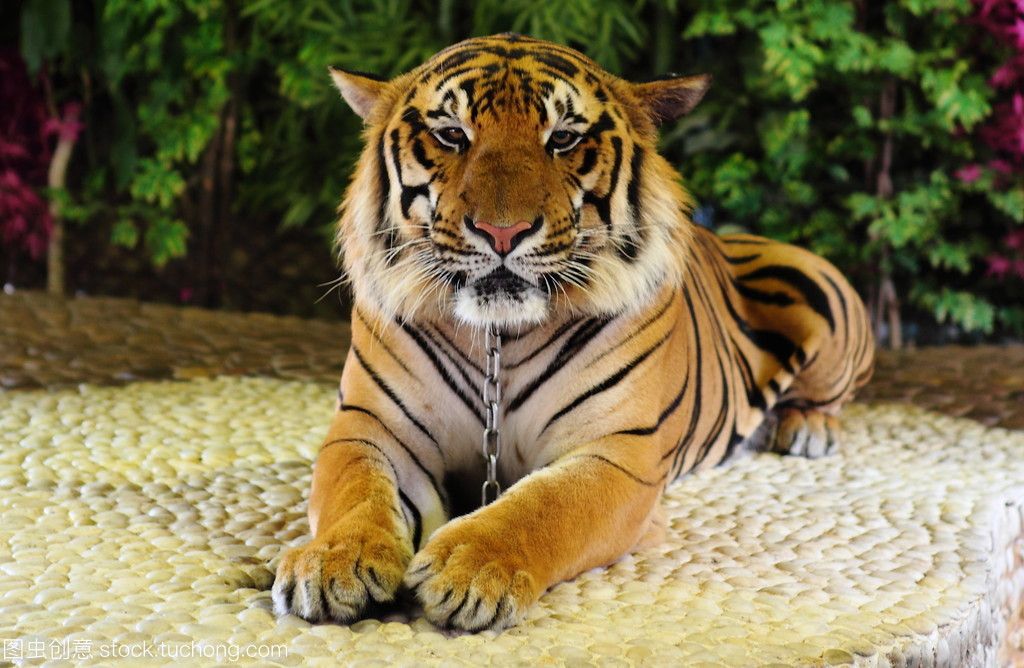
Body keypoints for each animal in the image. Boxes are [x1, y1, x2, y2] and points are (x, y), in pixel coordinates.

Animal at [270, 32, 872, 631]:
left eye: (562, 138)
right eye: (451, 134)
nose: (502, 232)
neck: (499, 339)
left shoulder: (618, 452)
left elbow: (545, 506)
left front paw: (469, 568)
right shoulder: (369, 427)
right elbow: (355, 490)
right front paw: (334, 562)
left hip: (827, 295)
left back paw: (805, 429)